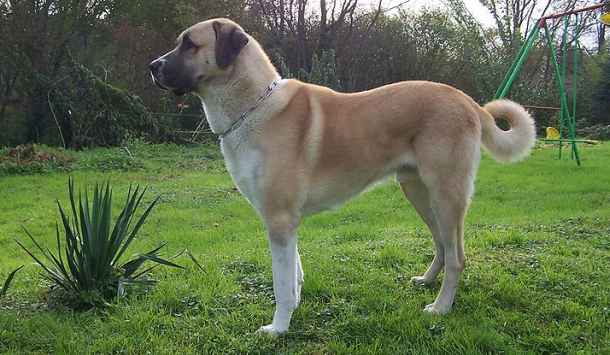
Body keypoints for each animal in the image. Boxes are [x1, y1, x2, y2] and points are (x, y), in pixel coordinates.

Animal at [150, 18, 536, 336]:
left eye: (190, 44)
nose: (152, 67)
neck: (253, 106)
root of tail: (468, 101)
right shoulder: (287, 223)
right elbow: (294, 273)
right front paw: (294, 309)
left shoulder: (279, 220)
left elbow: (281, 283)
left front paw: (278, 328)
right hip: (418, 192)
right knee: (441, 244)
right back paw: (426, 282)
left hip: (446, 195)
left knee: (457, 257)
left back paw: (440, 307)